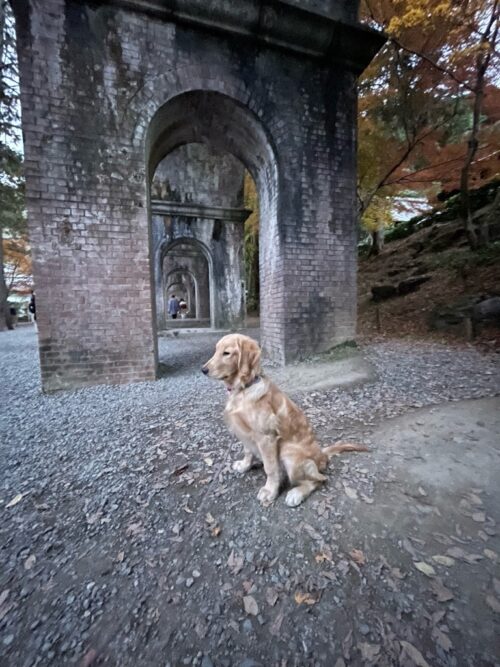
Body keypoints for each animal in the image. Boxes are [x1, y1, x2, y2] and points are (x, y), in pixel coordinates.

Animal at [200, 334, 368, 506]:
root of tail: (322, 455)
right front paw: (245, 465)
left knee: (320, 479)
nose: (203, 370)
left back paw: (297, 494)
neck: (244, 388)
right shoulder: (244, 431)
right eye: (216, 350)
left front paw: (270, 491)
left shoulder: (266, 437)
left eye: (226, 353)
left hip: (288, 452)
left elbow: (270, 468)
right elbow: (247, 450)